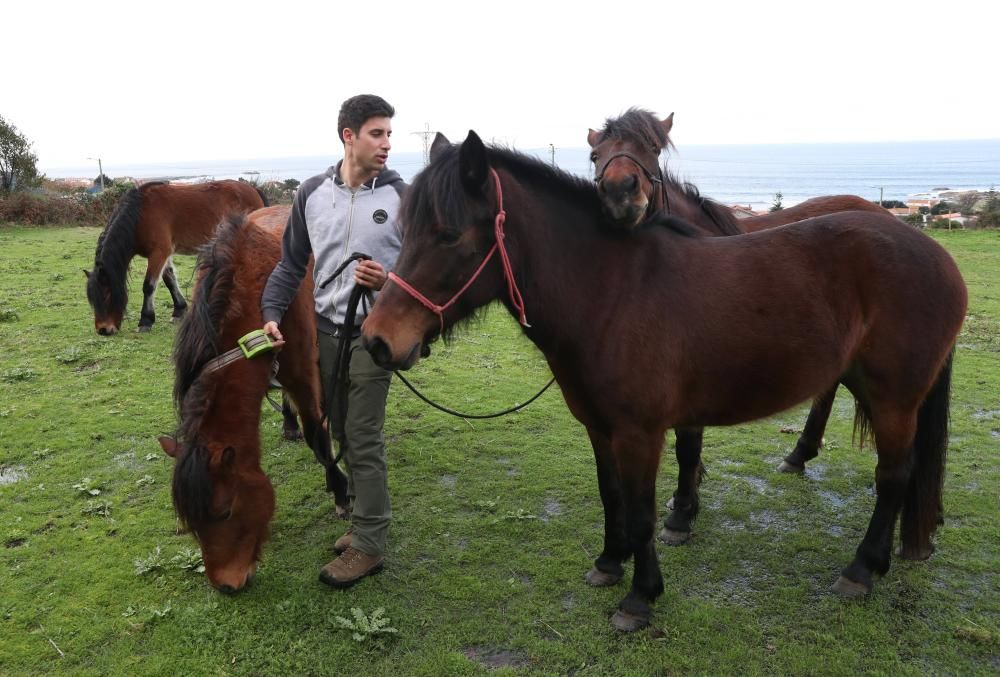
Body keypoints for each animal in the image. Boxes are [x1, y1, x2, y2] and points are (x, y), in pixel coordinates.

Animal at [85, 180, 266, 336]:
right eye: (92, 299)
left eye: (107, 295)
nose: (103, 330)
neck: (140, 215)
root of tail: (253, 190)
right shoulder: (164, 254)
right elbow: (169, 280)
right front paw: (179, 310)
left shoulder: (159, 252)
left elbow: (149, 286)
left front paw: (145, 321)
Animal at [154, 206, 346, 592]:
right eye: (189, 524)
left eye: (225, 511)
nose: (226, 586)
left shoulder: (304, 376)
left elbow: (317, 435)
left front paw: (341, 493)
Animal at [364, 133, 964, 632]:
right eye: (405, 230)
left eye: (447, 235)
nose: (377, 339)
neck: (611, 294)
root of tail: (937, 255)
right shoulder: (600, 428)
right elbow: (612, 497)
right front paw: (609, 563)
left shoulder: (641, 434)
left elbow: (644, 512)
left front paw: (640, 597)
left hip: (894, 399)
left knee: (893, 477)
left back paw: (861, 569)